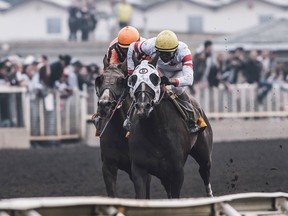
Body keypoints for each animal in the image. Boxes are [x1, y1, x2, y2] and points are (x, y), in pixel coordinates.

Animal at [127, 59, 213, 199]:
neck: (156, 134)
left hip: (204, 152)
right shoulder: (139, 169)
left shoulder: (177, 171)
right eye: (133, 79)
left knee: (204, 170)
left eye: (155, 78)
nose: (143, 106)